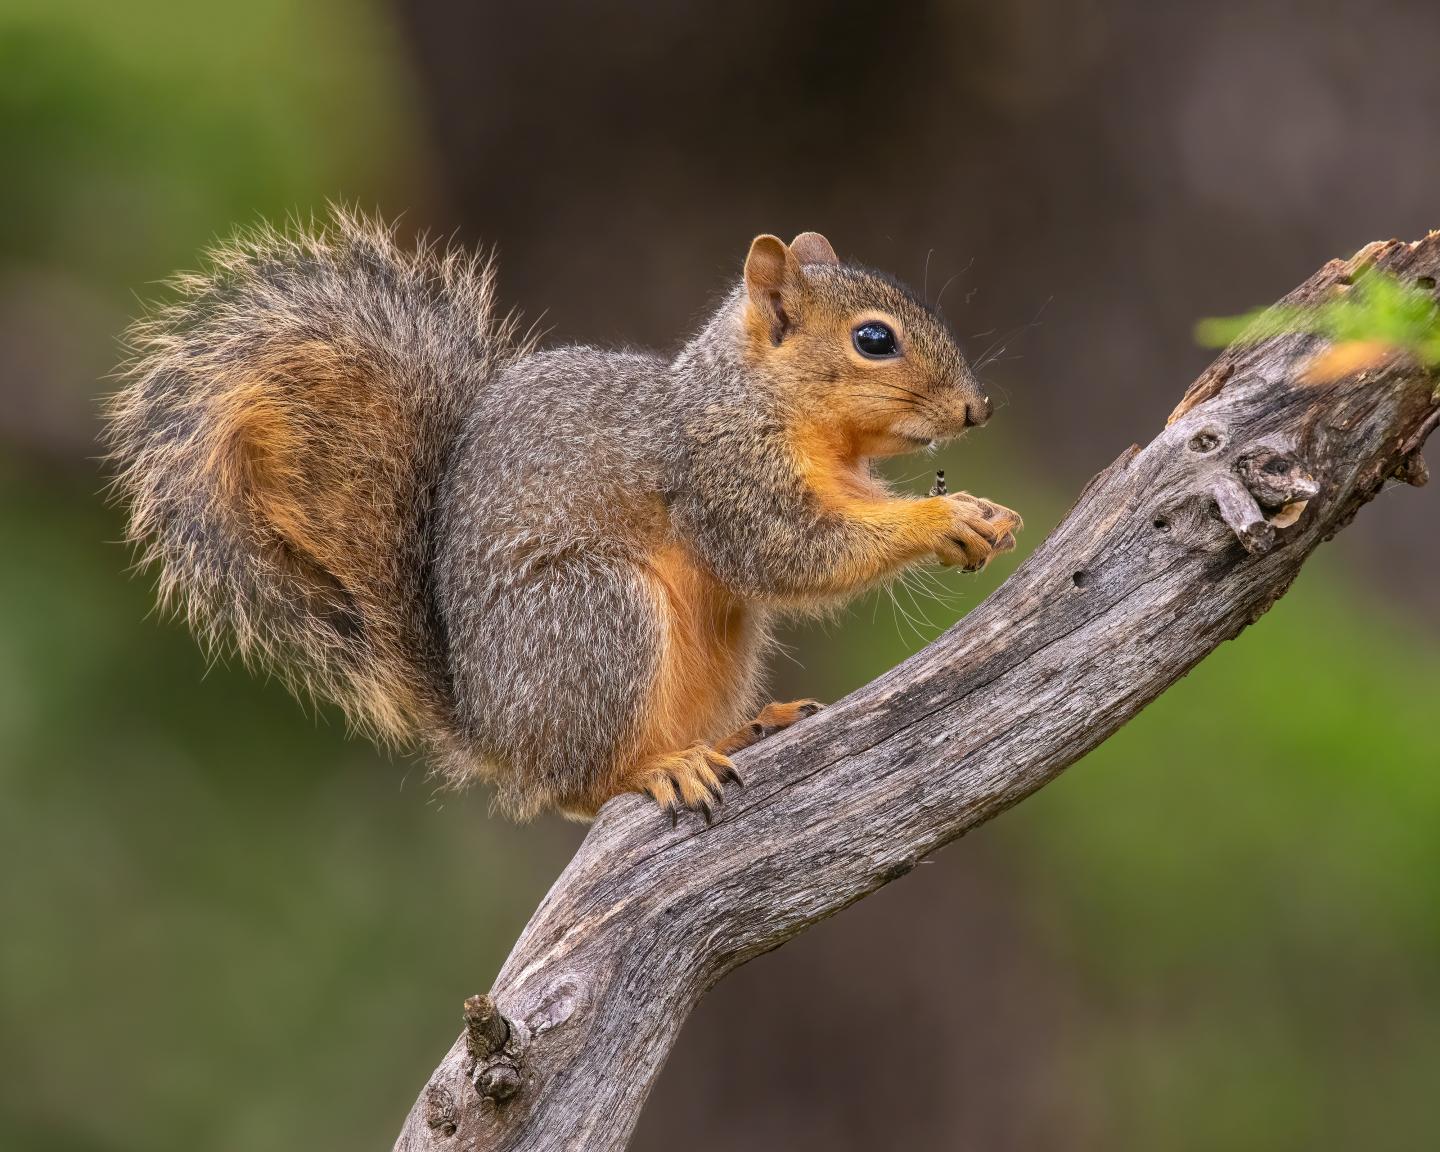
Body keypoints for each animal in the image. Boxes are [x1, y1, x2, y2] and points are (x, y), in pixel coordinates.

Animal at [106, 209, 1021, 822]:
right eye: (874, 340)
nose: (978, 410)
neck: (759, 399)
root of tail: (496, 731)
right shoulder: (720, 474)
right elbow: (789, 552)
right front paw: (937, 521)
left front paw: (976, 508)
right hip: (593, 614)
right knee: (583, 789)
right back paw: (657, 771)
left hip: (718, 642)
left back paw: (740, 733)